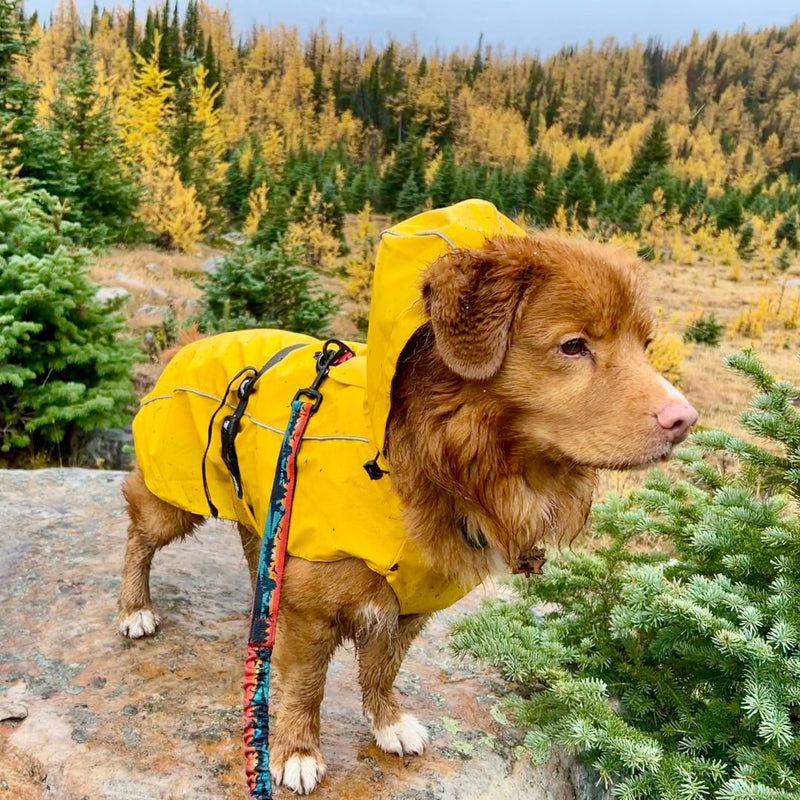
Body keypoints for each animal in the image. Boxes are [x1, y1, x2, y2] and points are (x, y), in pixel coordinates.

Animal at [115, 200, 696, 792]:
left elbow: (382, 669)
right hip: (174, 499)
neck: (434, 467)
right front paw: (297, 751)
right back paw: (135, 608)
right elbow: (306, 685)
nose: (684, 420)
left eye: (645, 346)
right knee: (139, 532)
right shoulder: (314, 609)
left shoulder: (411, 604)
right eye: (574, 345)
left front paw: (387, 722)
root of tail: (190, 343)